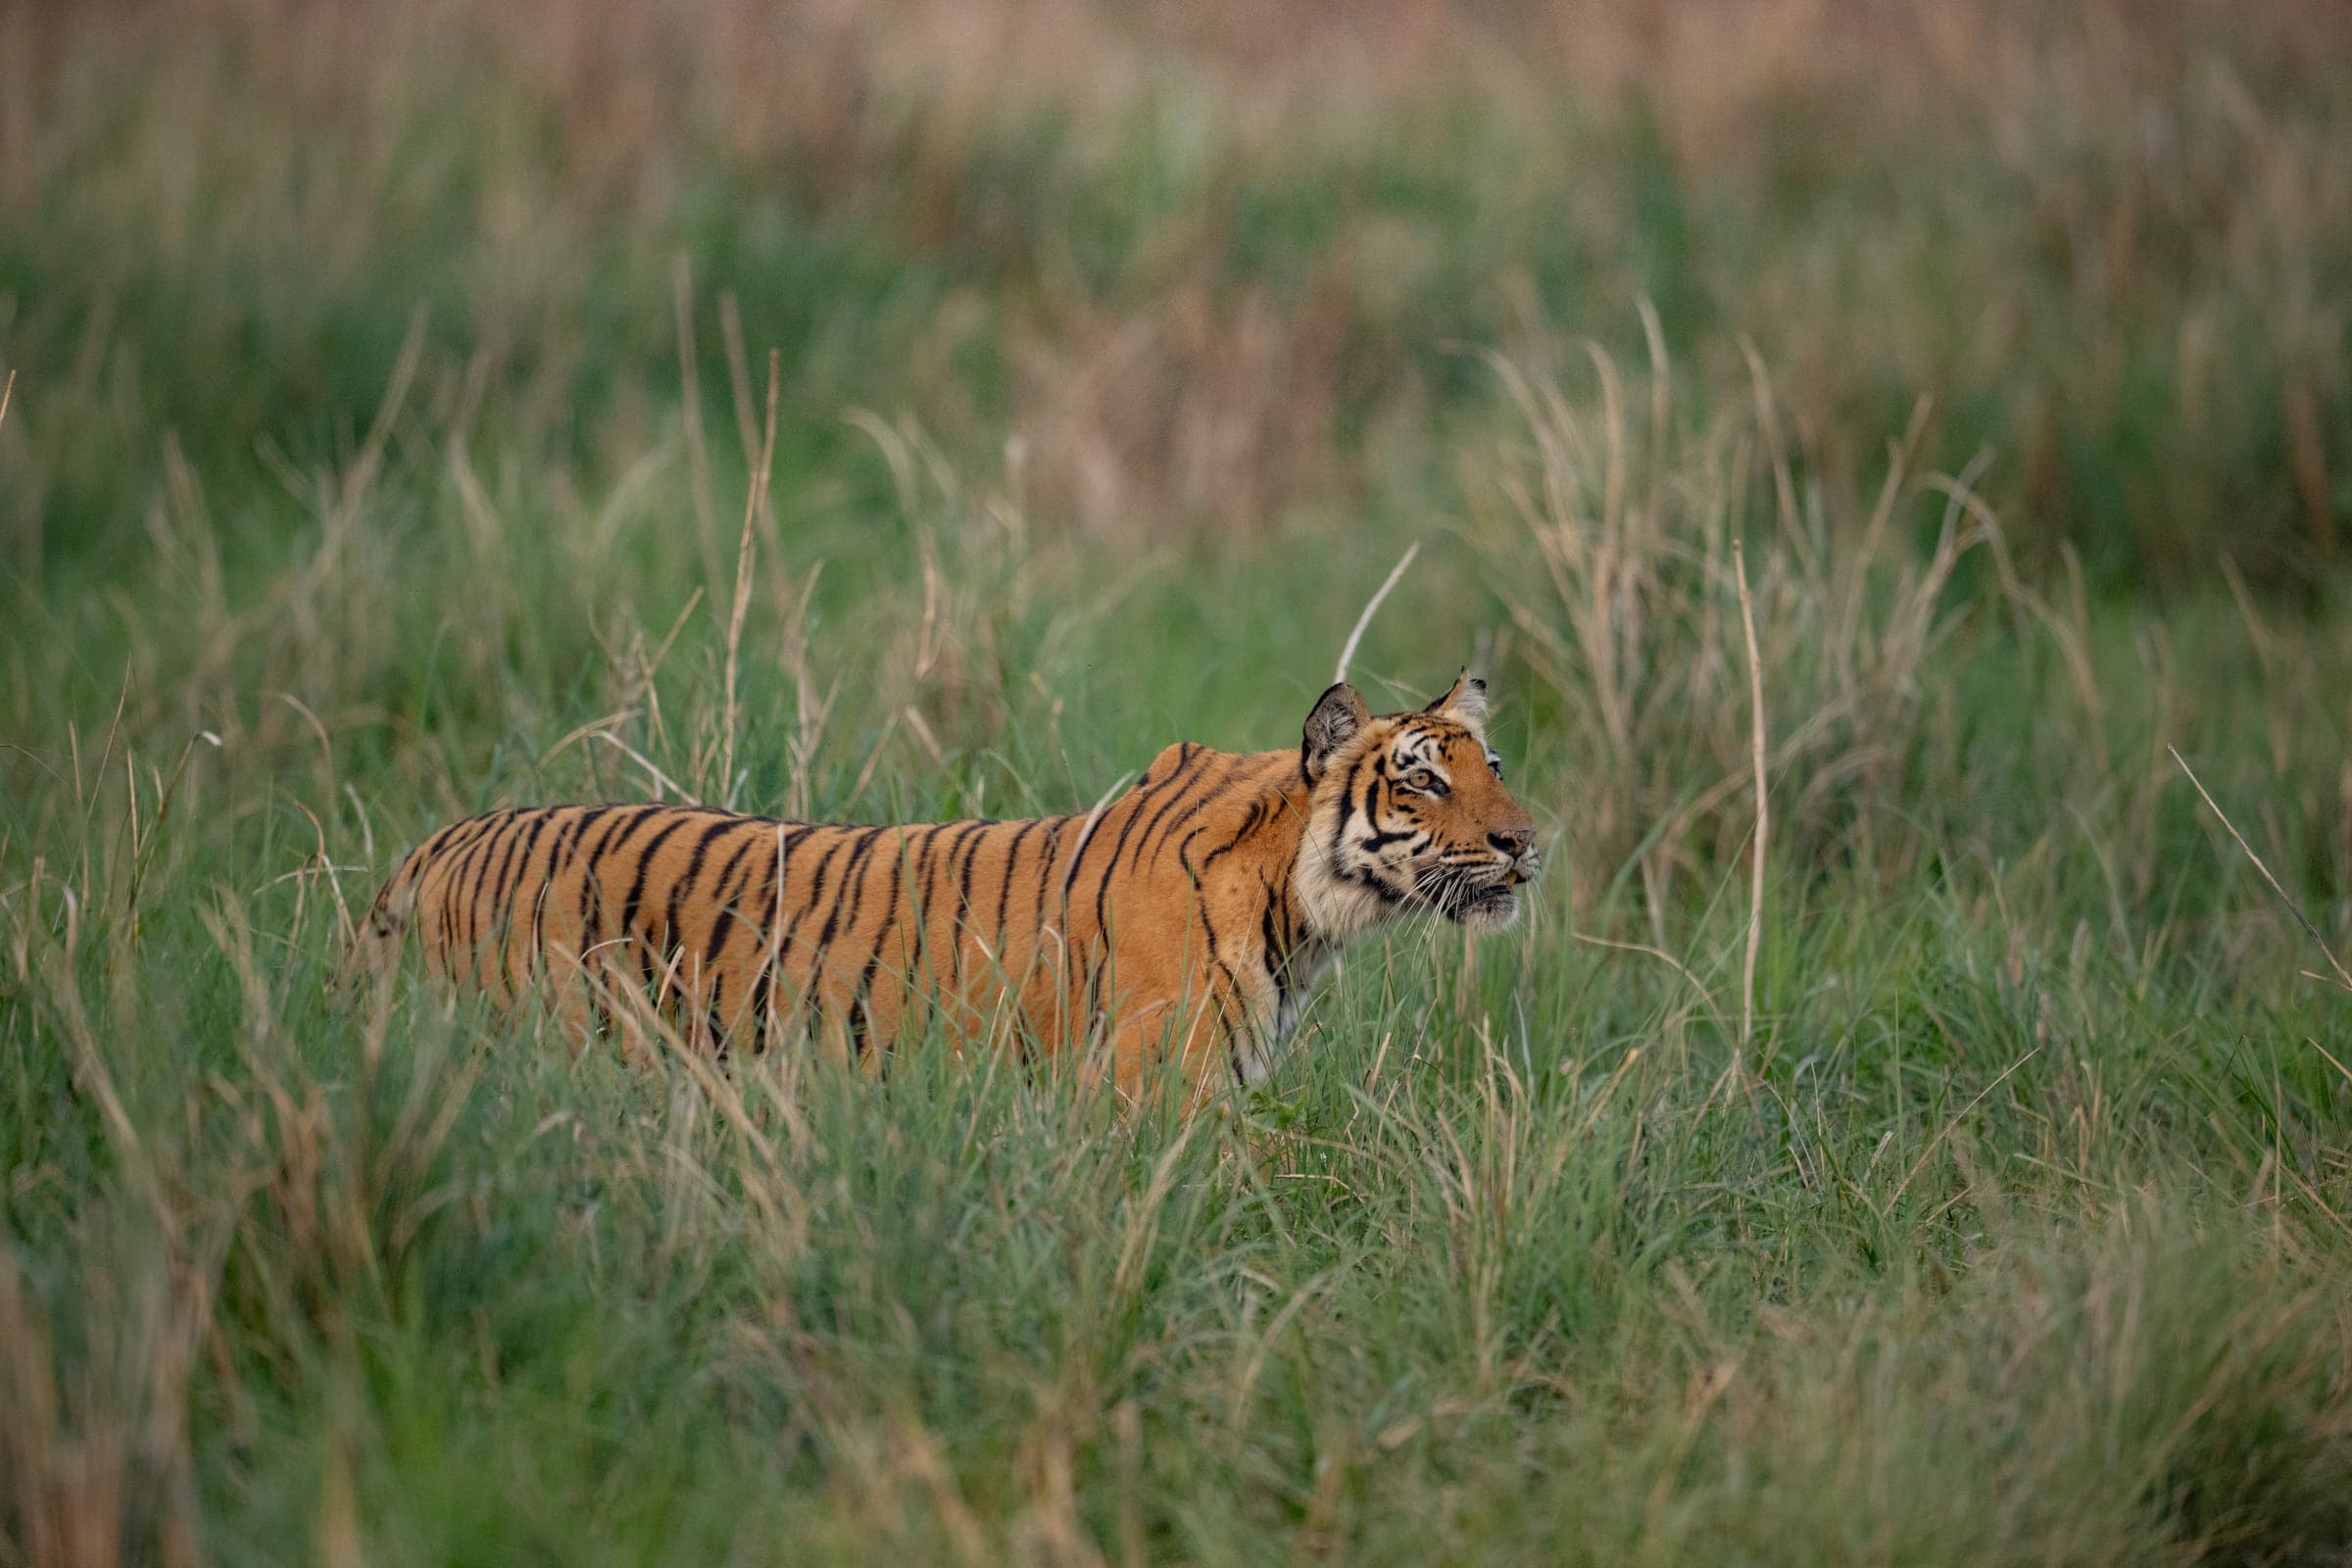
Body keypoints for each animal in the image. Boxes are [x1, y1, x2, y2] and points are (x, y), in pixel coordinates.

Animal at [357, 671, 1542, 1100]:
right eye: (1423, 777)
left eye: (1492, 763)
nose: (1529, 841)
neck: (1303, 913)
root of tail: (428, 851)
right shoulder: (1154, 1094)